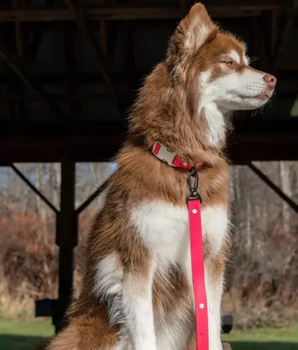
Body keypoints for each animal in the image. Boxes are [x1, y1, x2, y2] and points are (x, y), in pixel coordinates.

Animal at [47, 3, 276, 350]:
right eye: (229, 63)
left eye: (247, 62)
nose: (273, 79)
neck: (184, 165)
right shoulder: (137, 260)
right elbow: (144, 332)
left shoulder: (211, 259)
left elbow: (211, 326)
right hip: (94, 330)